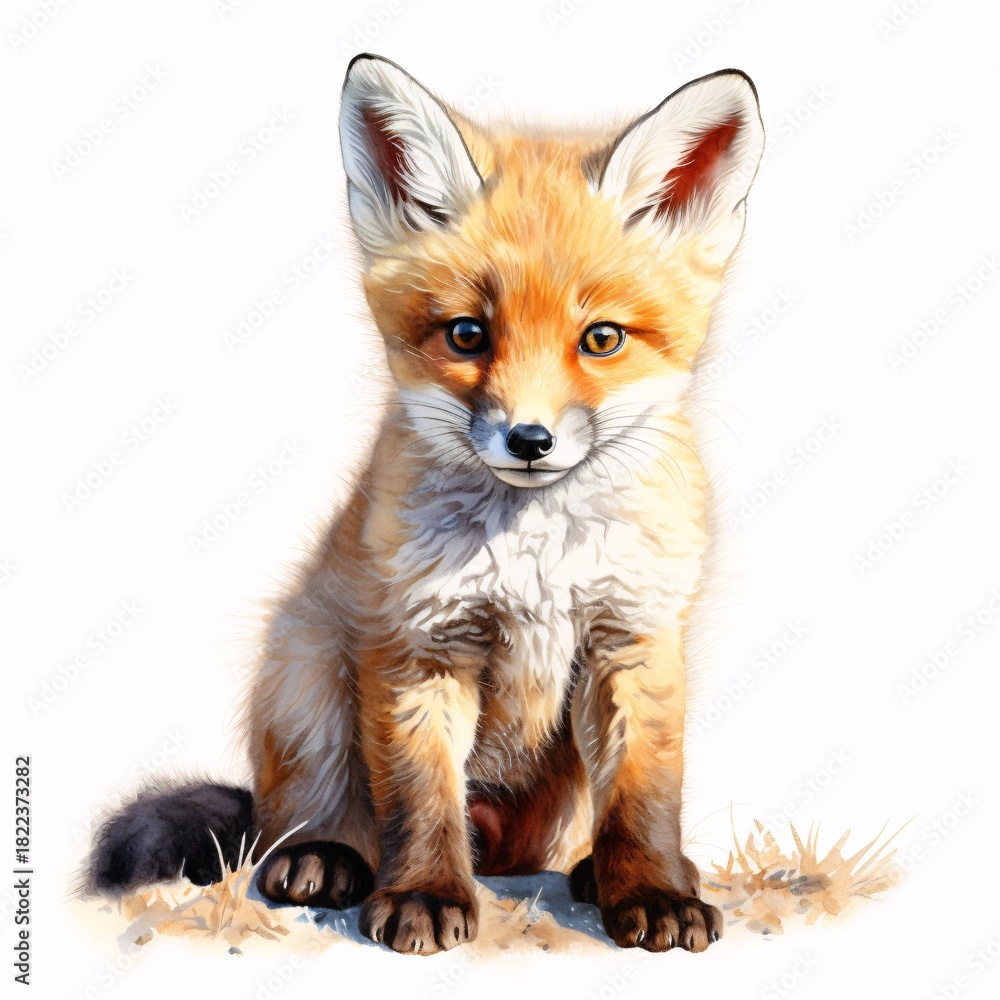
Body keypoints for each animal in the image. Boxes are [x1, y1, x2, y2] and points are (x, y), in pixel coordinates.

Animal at [87, 53, 764, 956]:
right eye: (467, 334)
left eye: (602, 340)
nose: (529, 439)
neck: (536, 561)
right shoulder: (417, 642)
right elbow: (419, 796)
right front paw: (425, 895)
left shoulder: (634, 638)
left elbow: (644, 794)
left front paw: (653, 890)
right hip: (307, 672)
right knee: (303, 820)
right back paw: (323, 858)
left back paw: (598, 871)